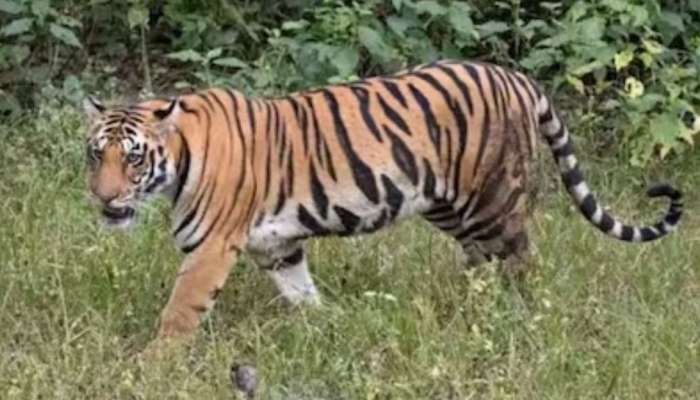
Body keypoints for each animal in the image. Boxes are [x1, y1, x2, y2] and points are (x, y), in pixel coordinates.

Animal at [83, 60, 683, 339]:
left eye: (132, 159)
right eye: (96, 156)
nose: (104, 200)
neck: (179, 159)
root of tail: (516, 76)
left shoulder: (210, 249)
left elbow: (179, 313)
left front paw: (152, 368)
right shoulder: (276, 246)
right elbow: (301, 291)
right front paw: (325, 328)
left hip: (493, 202)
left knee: (522, 262)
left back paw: (521, 318)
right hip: (452, 208)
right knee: (483, 264)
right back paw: (470, 312)